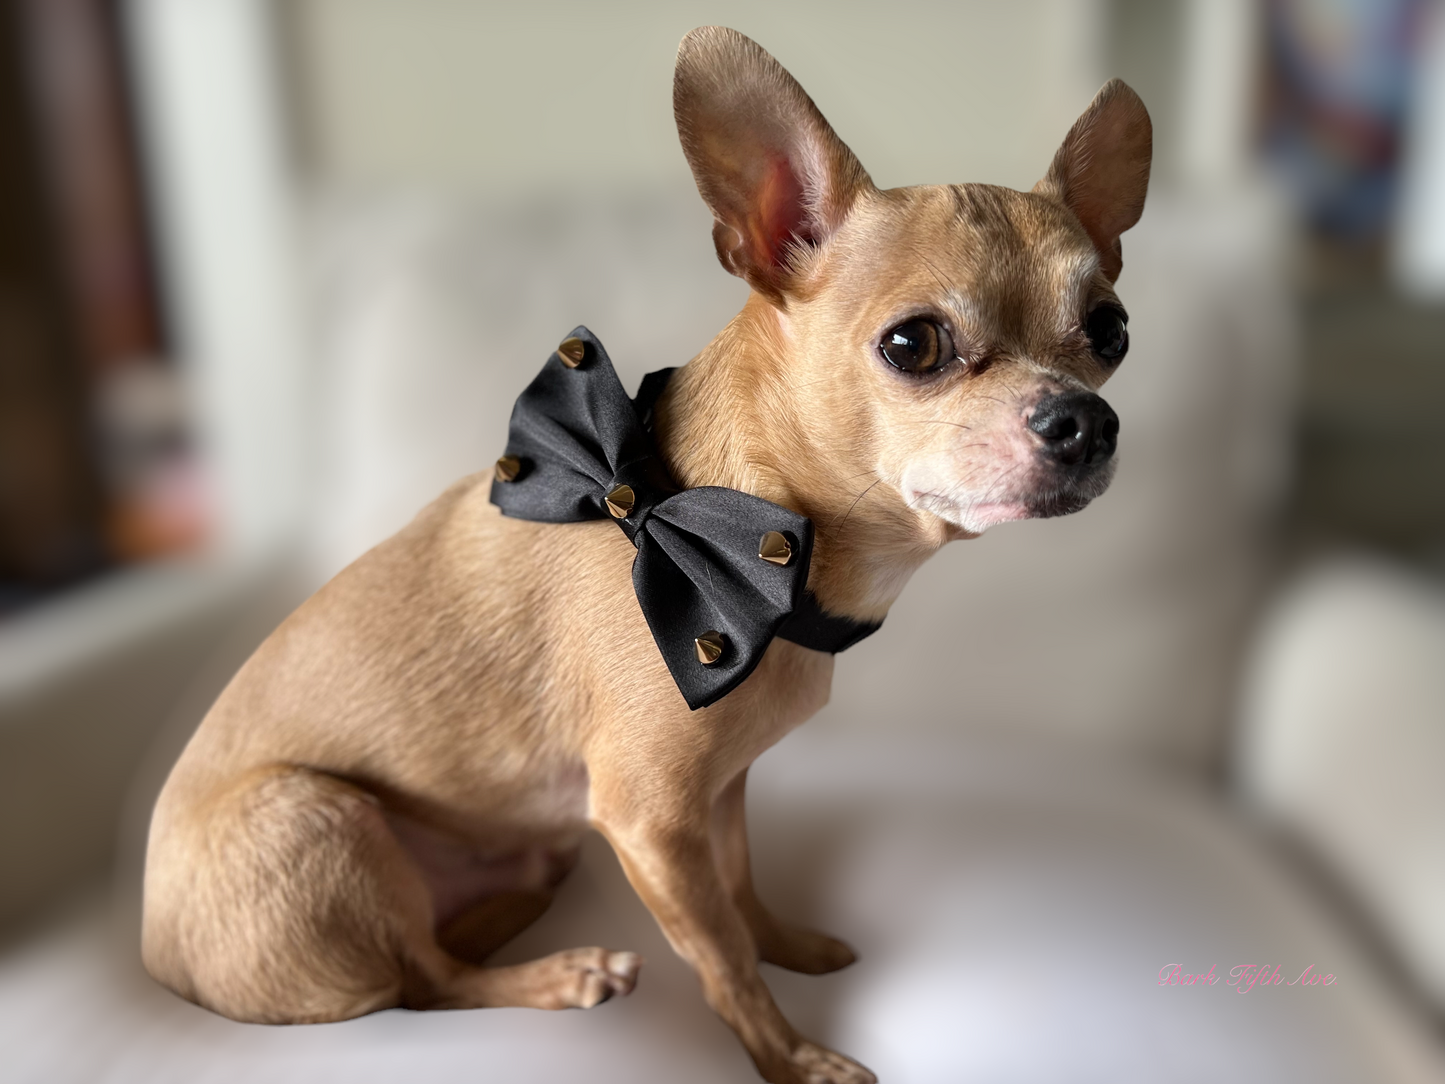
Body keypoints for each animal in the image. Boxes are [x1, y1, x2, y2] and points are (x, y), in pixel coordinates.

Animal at [140, 25, 1144, 1084]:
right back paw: (559, 974)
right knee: (423, 981)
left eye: (1111, 331)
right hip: (319, 819)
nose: (1086, 421)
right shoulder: (652, 823)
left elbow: (742, 893)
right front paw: (791, 1056)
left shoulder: (720, 794)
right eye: (914, 344)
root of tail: (164, 964)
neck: (742, 537)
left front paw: (787, 943)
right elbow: (721, 956)